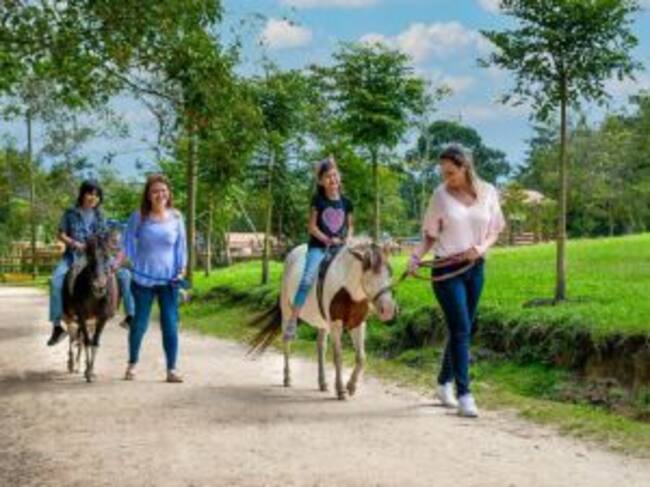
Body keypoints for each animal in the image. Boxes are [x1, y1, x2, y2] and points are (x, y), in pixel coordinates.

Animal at [62, 233, 120, 382]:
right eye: (90, 257)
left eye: (107, 256)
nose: (99, 286)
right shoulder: (81, 316)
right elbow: (87, 341)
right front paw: (87, 372)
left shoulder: (102, 318)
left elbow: (95, 342)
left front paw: (91, 371)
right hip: (70, 316)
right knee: (73, 335)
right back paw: (72, 363)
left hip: (91, 320)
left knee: (81, 337)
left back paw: (78, 364)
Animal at [249, 242, 397, 400]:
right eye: (371, 274)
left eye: (390, 273)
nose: (388, 310)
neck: (348, 290)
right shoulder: (335, 324)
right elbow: (338, 356)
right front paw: (341, 389)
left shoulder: (358, 323)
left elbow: (361, 357)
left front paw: (351, 386)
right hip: (287, 312)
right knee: (287, 341)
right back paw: (287, 378)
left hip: (321, 322)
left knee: (321, 346)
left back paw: (322, 383)